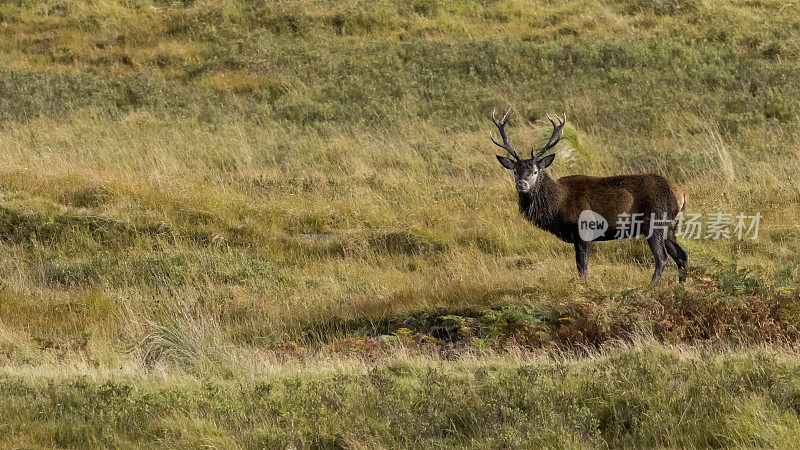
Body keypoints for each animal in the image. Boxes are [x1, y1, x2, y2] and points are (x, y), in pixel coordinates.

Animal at [490, 109, 692, 284]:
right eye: (515, 171)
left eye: (535, 171)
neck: (557, 205)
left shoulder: (585, 229)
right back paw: (679, 286)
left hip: (655, 221)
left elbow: (582, 267)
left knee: (662, 258)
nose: (521, 184)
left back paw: (650, 286)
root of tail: (682, 193)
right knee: (682, 256)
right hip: (671, 226)